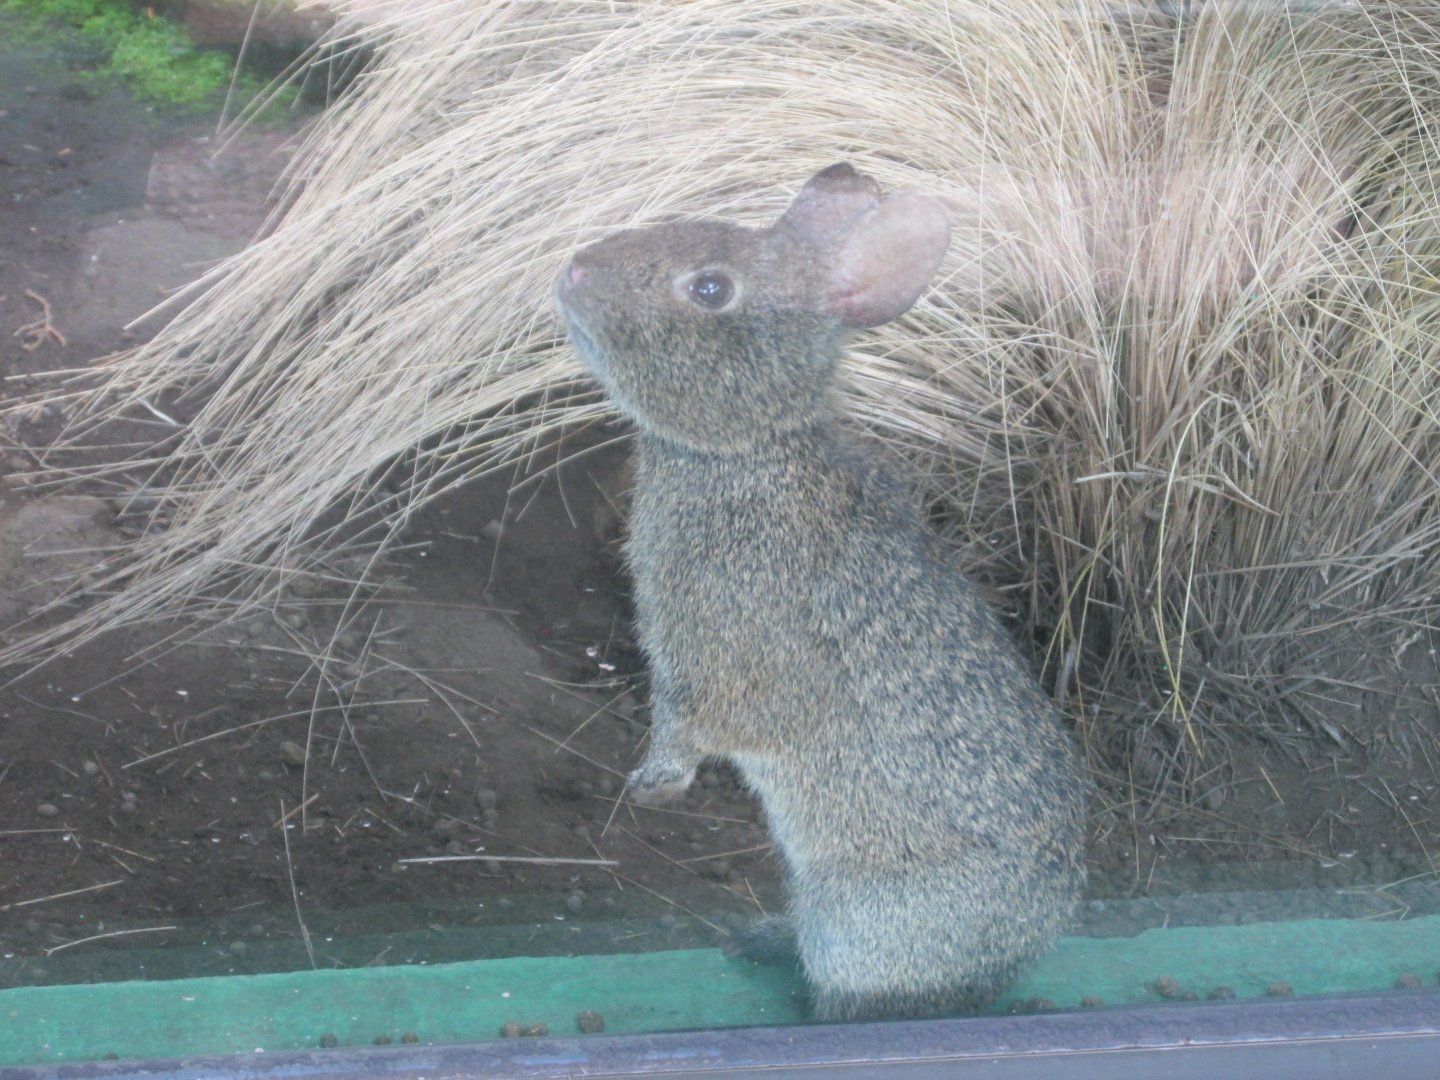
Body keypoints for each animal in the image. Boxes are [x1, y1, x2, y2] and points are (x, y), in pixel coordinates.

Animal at [553, 162, 1087, 1021]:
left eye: (710, 289)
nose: (573, 270)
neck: (749, 450)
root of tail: (1008, 963)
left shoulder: (711, 658)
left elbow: (690, 723)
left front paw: (653, 788)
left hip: (862, 927)